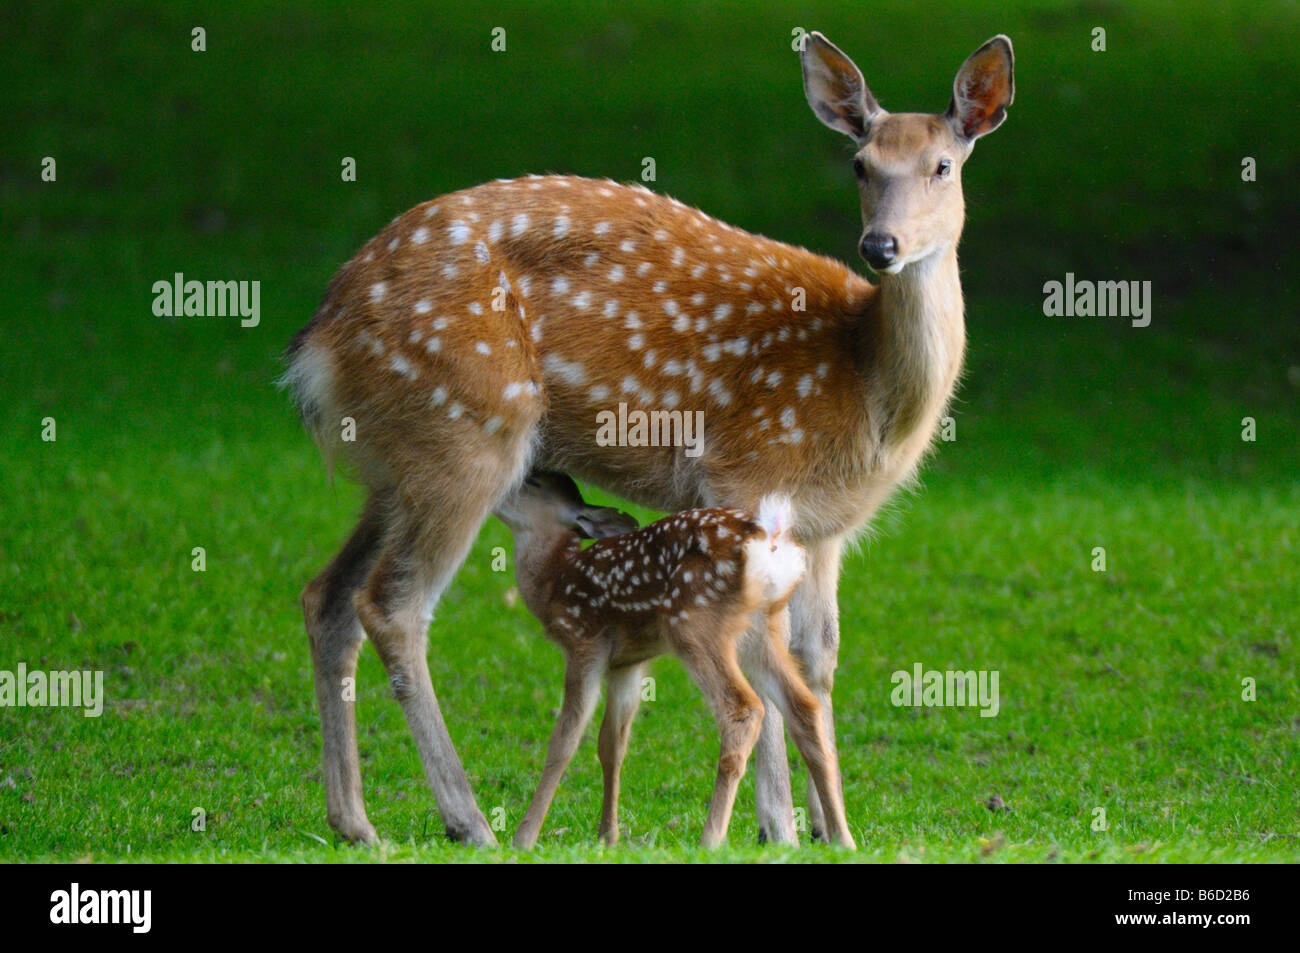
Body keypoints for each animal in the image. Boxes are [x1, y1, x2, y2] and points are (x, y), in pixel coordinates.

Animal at [496, 468, 852, 847]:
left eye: (531, 483)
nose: (497, 493)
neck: (554, 580)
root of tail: (769, 532)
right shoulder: (627, 663)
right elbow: (612, 744)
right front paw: (608, 837)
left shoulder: (584, 641)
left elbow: (564, 741)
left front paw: (524, 837)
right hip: (762, 628)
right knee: (805, 707)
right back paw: (843, 838)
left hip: (694, 621)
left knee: (743, 708)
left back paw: (710, 839)